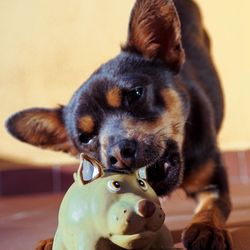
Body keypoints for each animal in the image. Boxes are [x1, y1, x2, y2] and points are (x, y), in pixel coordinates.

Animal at [5, 0, 232, 249]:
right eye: (84, 138)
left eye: (135, 94)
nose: (119, 155)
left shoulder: (212, 185)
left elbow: (210, 207)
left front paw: (205, 228)